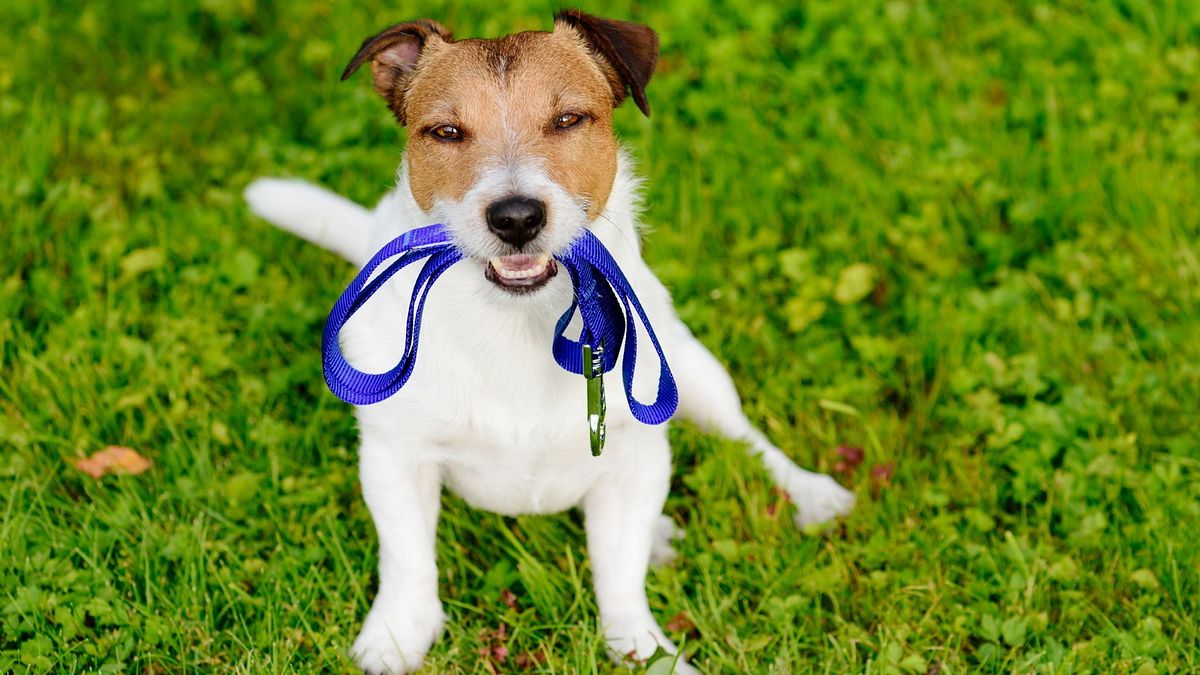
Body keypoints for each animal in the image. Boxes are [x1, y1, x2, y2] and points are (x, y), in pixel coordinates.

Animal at [246, 10, 854, 672]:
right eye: (446, 132)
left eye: (568, 120)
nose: (516, 218)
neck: (518, 321)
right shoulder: (394, 456)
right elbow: (407, 560)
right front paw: (396, 637)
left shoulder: (636, 457)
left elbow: (621, 579)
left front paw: (645, 649)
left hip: (695, 377)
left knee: (747, 441)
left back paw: (809, 494)